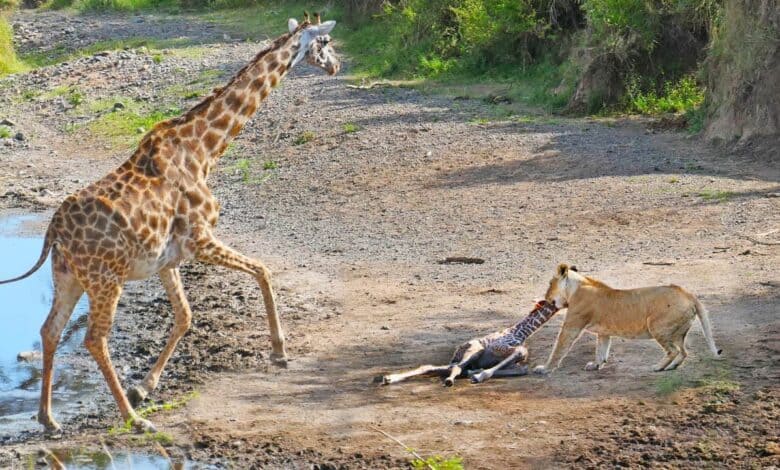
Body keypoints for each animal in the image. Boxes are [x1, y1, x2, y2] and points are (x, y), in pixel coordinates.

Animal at [0, 13, 340, 433]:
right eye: (325, 42)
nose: (336, 65)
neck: (204, 150)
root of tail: (54, 230)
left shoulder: (168, 260)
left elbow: (185, 316)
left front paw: (144, 387)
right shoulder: (201, 239)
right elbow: (262, 270)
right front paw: (279, 351)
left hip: (68, 276)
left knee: (51, 329)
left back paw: (49, 419)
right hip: (105, 278)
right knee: (94, 338)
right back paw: (133, 420)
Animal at [379, 300, 560, 386]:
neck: (522, 332)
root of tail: (457, 352)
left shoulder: (513, 360)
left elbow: (522, 368)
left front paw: (477, 373)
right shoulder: (501, 347)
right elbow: (520, 352)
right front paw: (479, 375)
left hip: (466, 357)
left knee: (437, 367)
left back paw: (389, 378)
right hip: (474, 350)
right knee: (455, 367)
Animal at [533, 264, 722, 374]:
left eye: (549, 284)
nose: (544, 298)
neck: (575, 289)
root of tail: (687, 293)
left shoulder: (571, 326)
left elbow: (558, 349)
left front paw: (545, 368)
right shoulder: (604, 332)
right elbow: (601, 349)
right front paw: (596, 365)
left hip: (657, 326)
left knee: (673, 351)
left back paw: (658, 367)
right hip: (678, 332)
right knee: (683, 351)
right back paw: (672, 367)